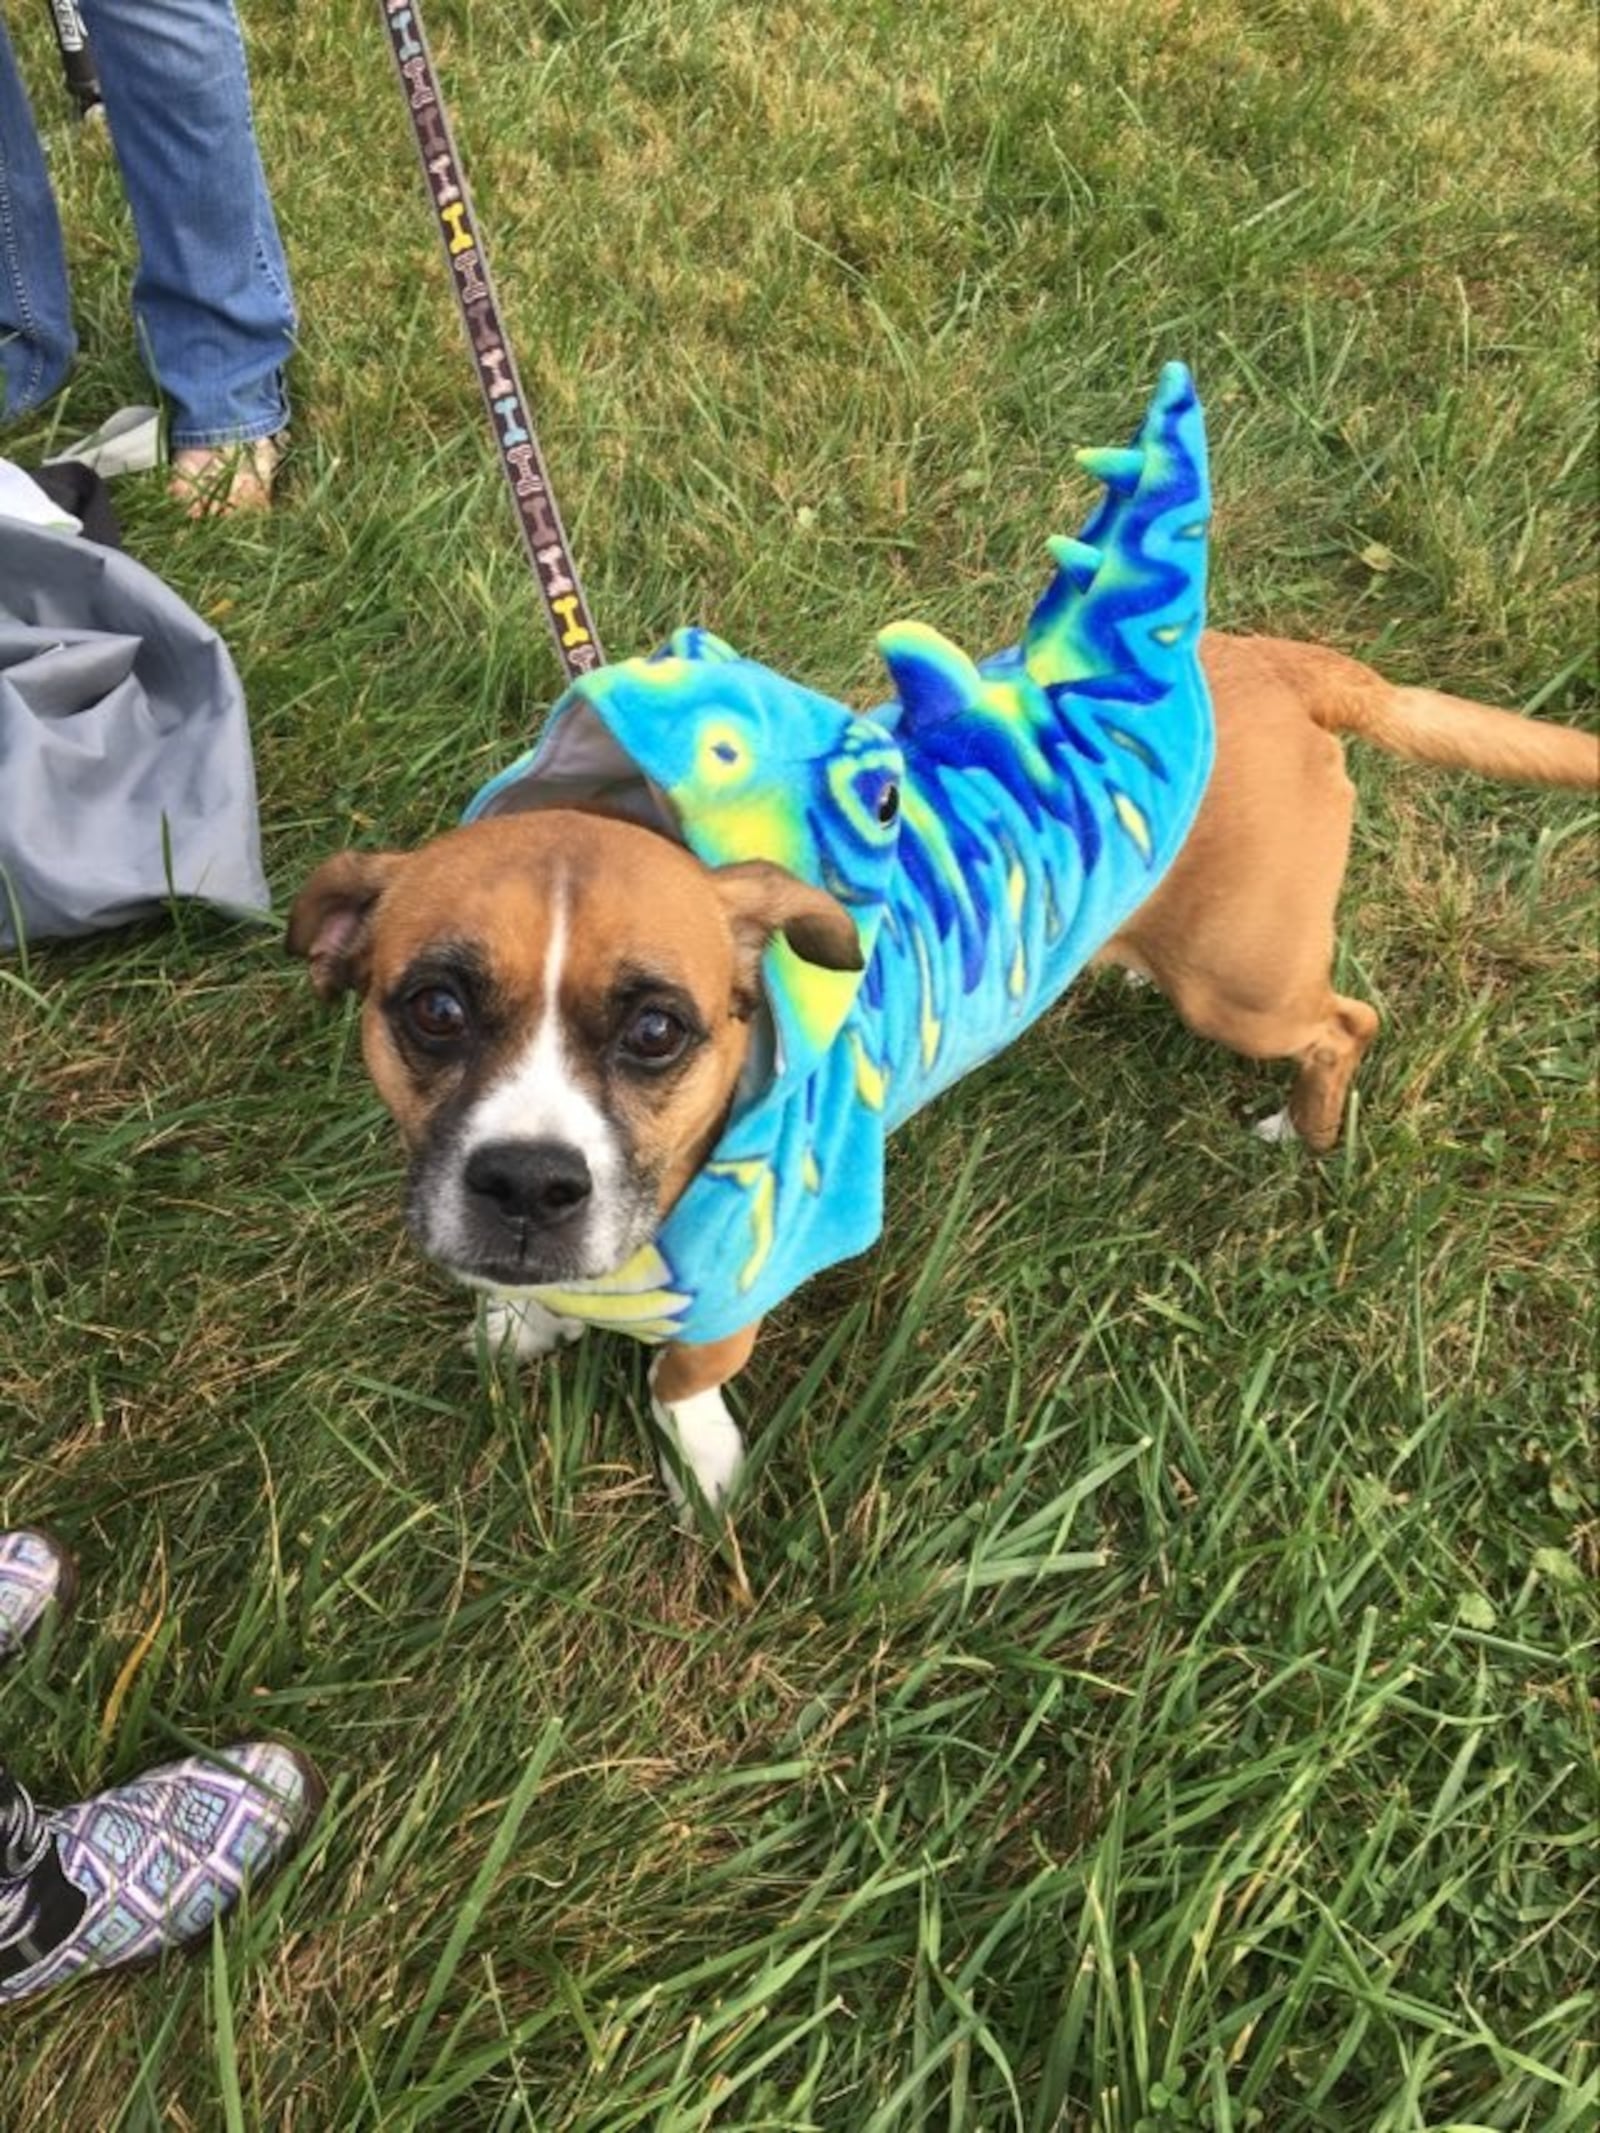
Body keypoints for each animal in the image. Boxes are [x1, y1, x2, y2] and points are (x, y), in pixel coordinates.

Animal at [285, 375, 1595, 1527]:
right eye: (434, 1008)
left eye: (658, 1030)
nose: (524, 1185)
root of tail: (1280, 664)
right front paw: (532, 1320)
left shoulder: (749, 1265)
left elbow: (681, 1376)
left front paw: (698, 1470)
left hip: (1243, 987)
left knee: (1344, 1024)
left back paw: (1304, 1131)